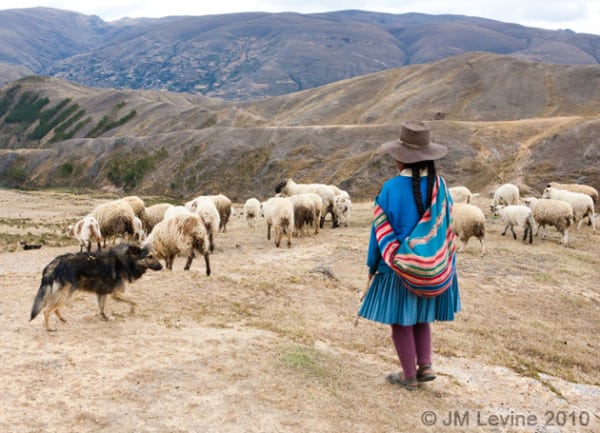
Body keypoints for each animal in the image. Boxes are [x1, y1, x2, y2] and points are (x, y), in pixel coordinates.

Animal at [29, 243, 162, 330]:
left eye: (156, 255)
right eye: (150, 256)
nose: (161, 267)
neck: (126, 260)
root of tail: (53, 264)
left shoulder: (102, 293)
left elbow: (102, 307)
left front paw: (105, 317)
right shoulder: (117, 293)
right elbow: (136, 299)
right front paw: (133, 310)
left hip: (63, 295)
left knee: (55, 309)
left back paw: (62, 319)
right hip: (65, 295)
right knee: (46, 311)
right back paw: (49, 328)